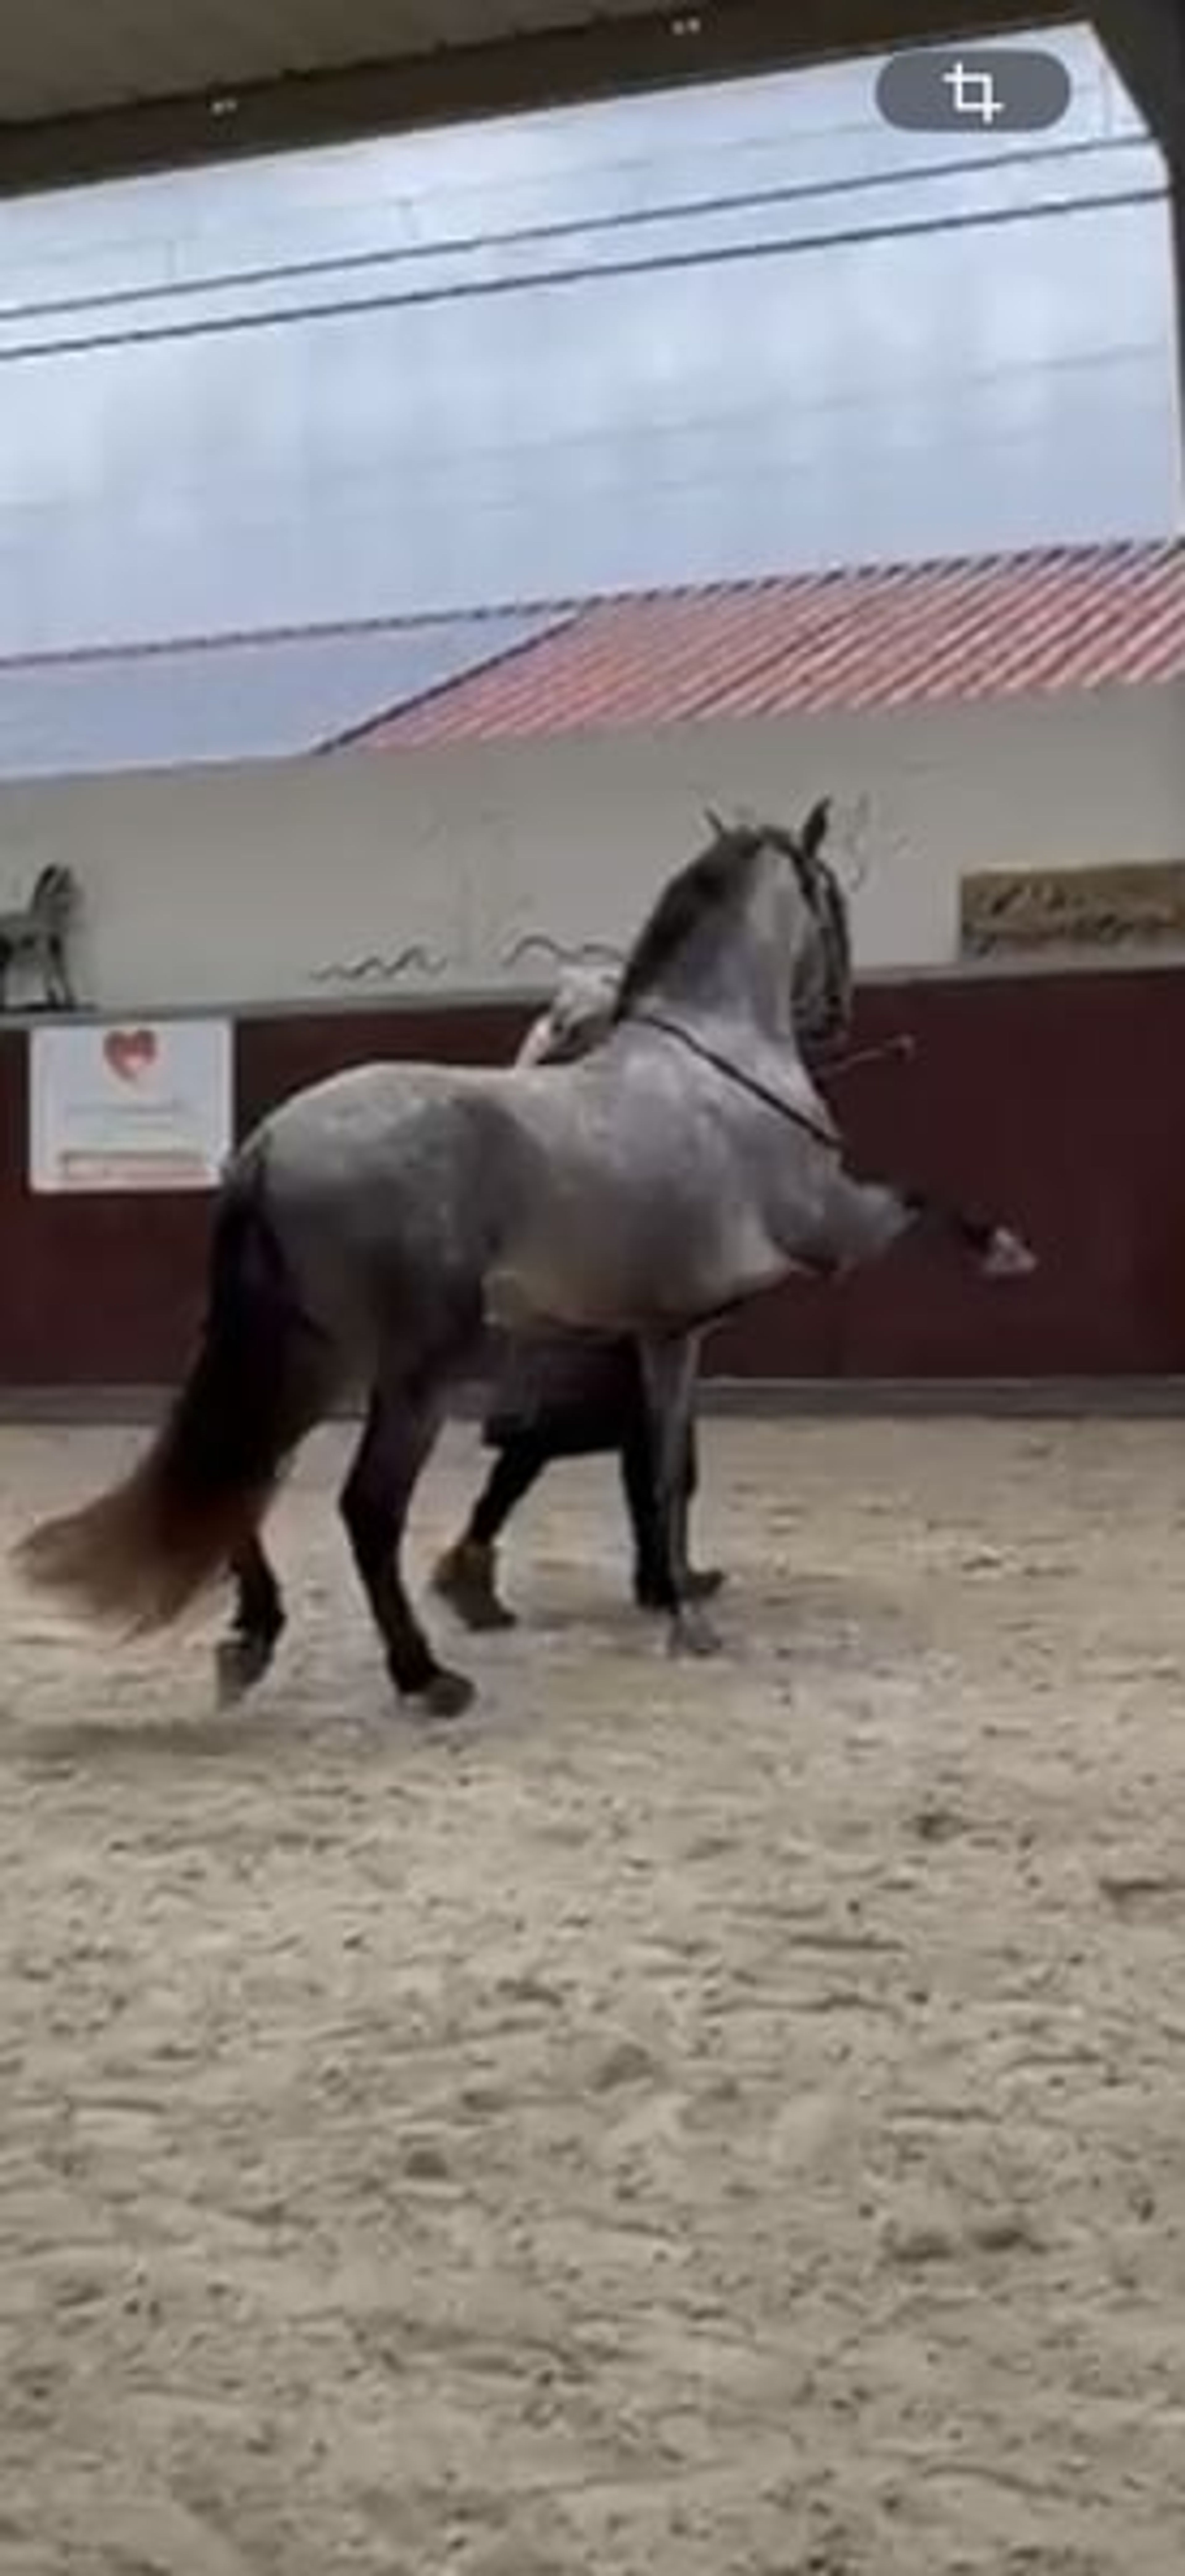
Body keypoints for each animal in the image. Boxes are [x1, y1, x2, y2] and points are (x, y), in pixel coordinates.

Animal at [13, 807, 1035, 1719]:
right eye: (832, 897)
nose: (836, 1014)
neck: (719, 1062)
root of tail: (268, 1144)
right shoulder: (825, 1237)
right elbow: (916, 1199)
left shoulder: (664, 1332)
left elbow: (662, 1468)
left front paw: (676, 1591)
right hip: (412, 1371)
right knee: (365, 1507)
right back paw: (425, 1677)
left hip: (308, 1355)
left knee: (244, 1481)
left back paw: (258, 1636)